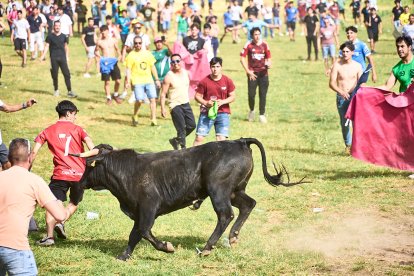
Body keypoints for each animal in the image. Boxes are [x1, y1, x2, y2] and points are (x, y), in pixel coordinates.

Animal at [78, 138, 304, 260]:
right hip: (234, 190)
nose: (78, 182)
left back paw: (206, 248)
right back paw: (233, 237)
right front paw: (124, 256)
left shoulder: (149, 207)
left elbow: (142, 231)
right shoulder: (138, 211)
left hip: (218, 190)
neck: (127, 171)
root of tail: (239, 141)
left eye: (88, 165)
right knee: (248, 205)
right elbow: (135, 234)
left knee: (225, 214)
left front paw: (166, 247)